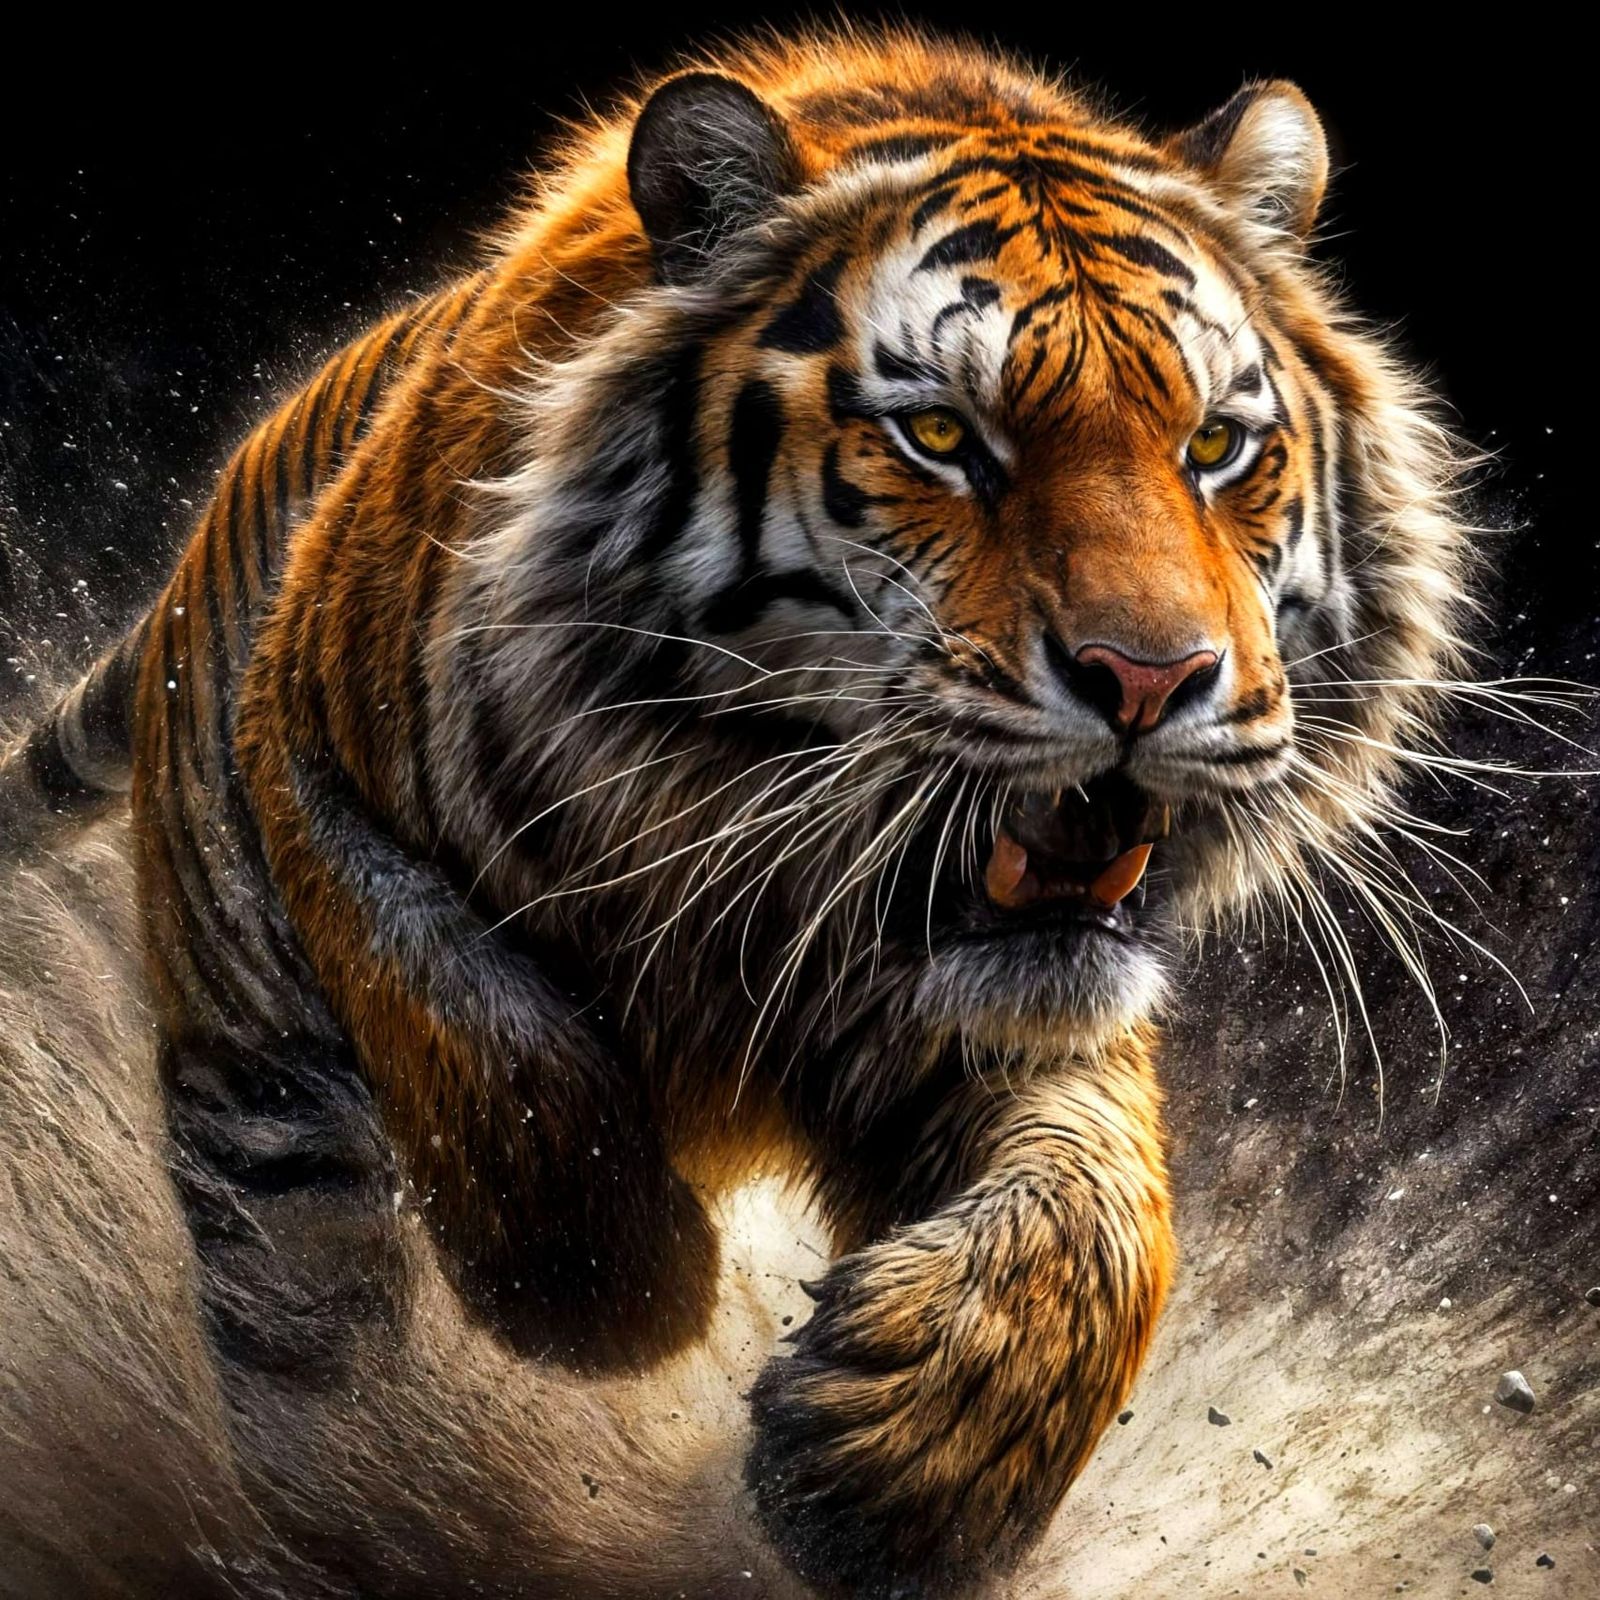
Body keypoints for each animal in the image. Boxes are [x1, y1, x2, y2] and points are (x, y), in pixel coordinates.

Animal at [0, 27, 1468, 1596]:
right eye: (940, 435)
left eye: (1214, 447)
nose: (1151, 679)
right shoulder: (311, 761)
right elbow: (471, 1008)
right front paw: (617, 1295)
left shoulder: (1002, 1010)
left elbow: (1102, 1209)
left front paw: (898, 1470)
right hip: (260, 1104)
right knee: (316, 1360)